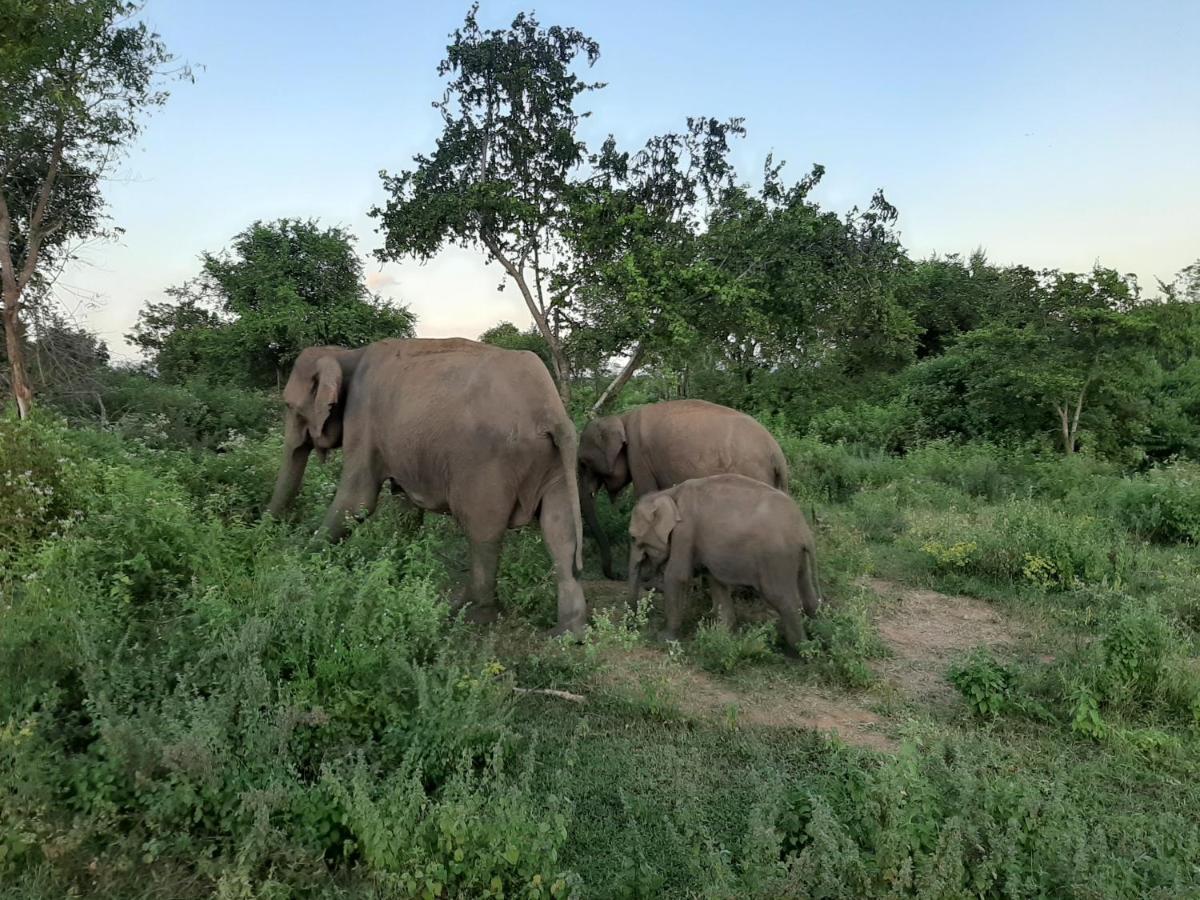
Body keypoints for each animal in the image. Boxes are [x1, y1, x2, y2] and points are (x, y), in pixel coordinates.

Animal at [271, 338, 590, 643]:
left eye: (289, 406)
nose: (271, 536)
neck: (347, 354)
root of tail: (550, 413)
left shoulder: (362, 420)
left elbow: (358, 500)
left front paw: (298, 562)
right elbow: (405, 509)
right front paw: (396, 575)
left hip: (488, 464)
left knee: (483, 531)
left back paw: (468, 616)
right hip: (554, 461)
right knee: (559, 531)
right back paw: (567, 635)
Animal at [578, 400, 792, 580]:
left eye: (584, 463)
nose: (618, 575)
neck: (622, 418)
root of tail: (776, 453)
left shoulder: (638, 456)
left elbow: (646, 494)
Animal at [624, 472, 820, 657]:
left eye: (633, 538)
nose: (632, 626)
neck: (669, 493)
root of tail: (804, 532)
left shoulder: (685, 531)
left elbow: (677, 576)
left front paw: (665, 638)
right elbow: (716, 581)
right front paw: (722, 635)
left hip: (776, 559)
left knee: (783, 600)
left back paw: (799, 652)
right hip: (798, 559)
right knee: (809, 596)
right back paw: (818, 634)